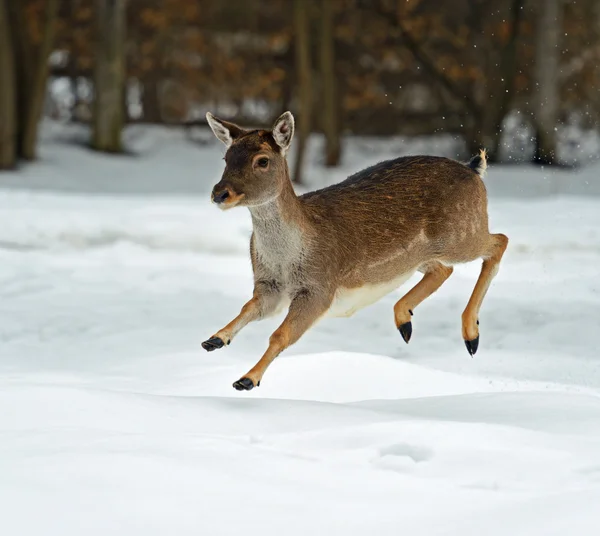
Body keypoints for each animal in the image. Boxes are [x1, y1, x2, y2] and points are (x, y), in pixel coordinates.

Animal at [202, 111, 506, 392]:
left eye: (262, 160)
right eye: (226, 158)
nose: (219, 193)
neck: (286, 259)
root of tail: (474, 169)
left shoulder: (320, 287)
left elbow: (280, 335)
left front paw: (247, 379)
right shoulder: (268, 285)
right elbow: (247, 308)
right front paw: (214, 339)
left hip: (462, 233)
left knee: (499, 241)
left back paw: (471, 336)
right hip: (422, 255)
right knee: (444, 268)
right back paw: (404, 321)